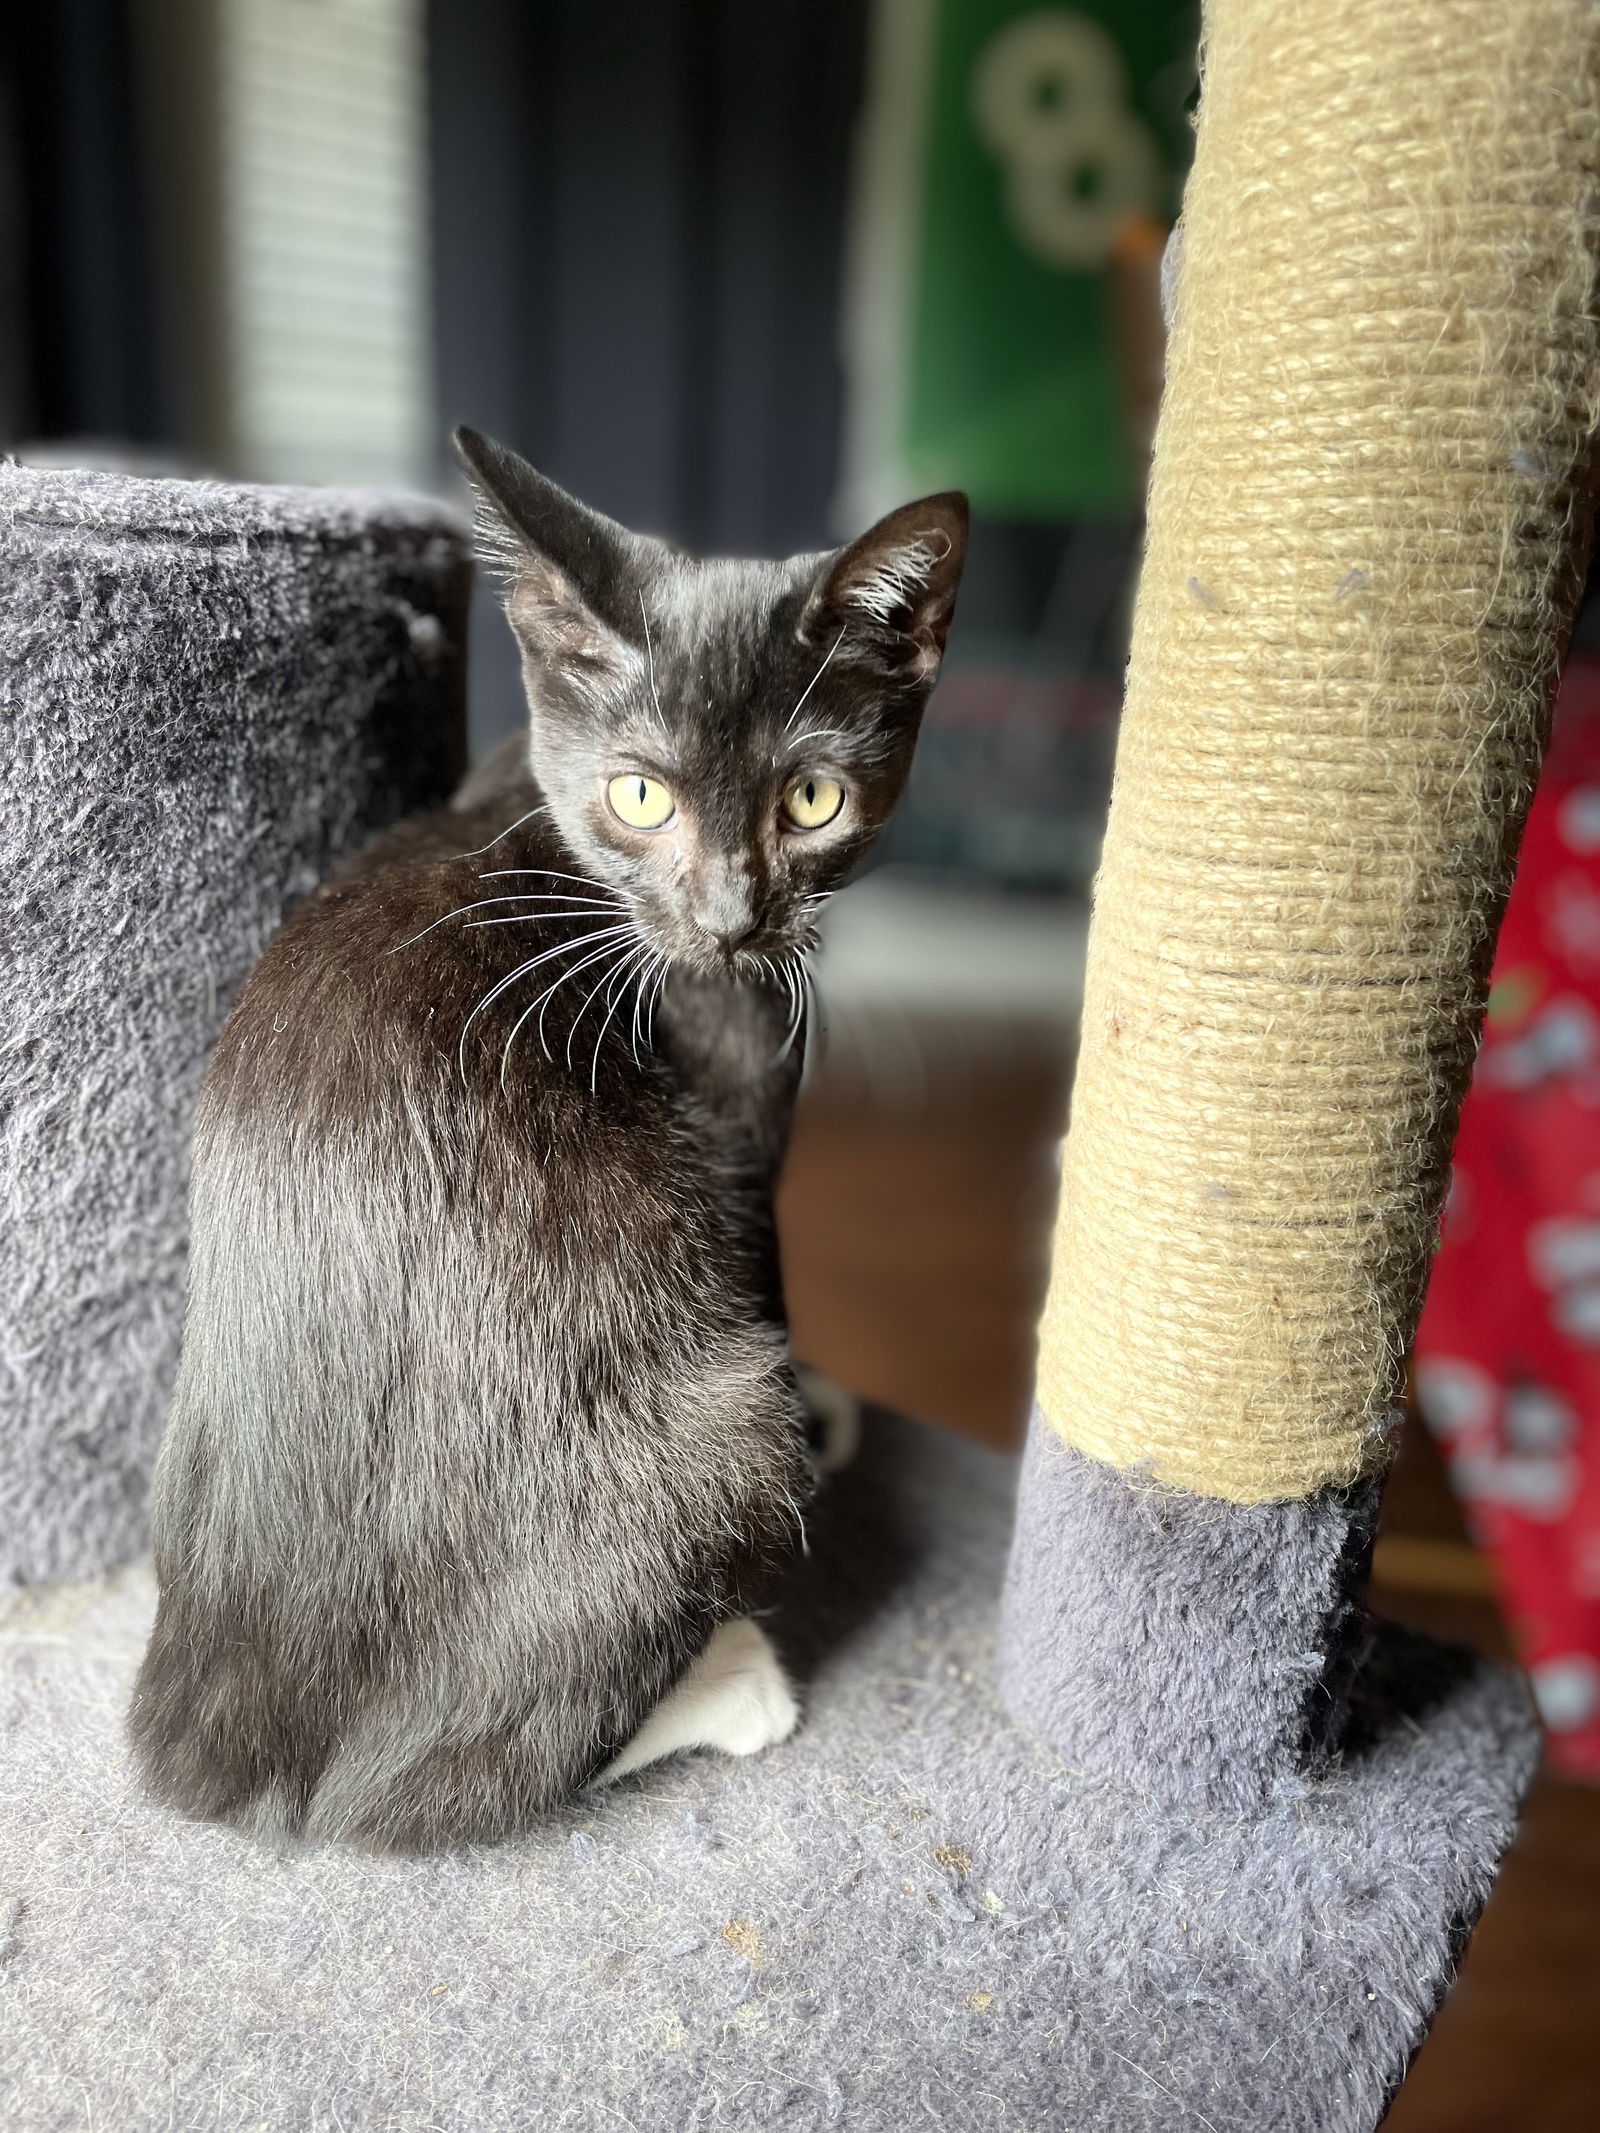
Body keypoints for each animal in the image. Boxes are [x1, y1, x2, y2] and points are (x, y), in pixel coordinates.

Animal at [131, 432, 964, 1851]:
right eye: (640, 795)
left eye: (811, 798)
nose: (729, 920)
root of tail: (221, 1747)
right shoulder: (731, 1091)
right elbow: (766, 1271)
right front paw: (826, 1404)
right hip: (714, 1443)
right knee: (435, 1791)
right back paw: (735, 1680)